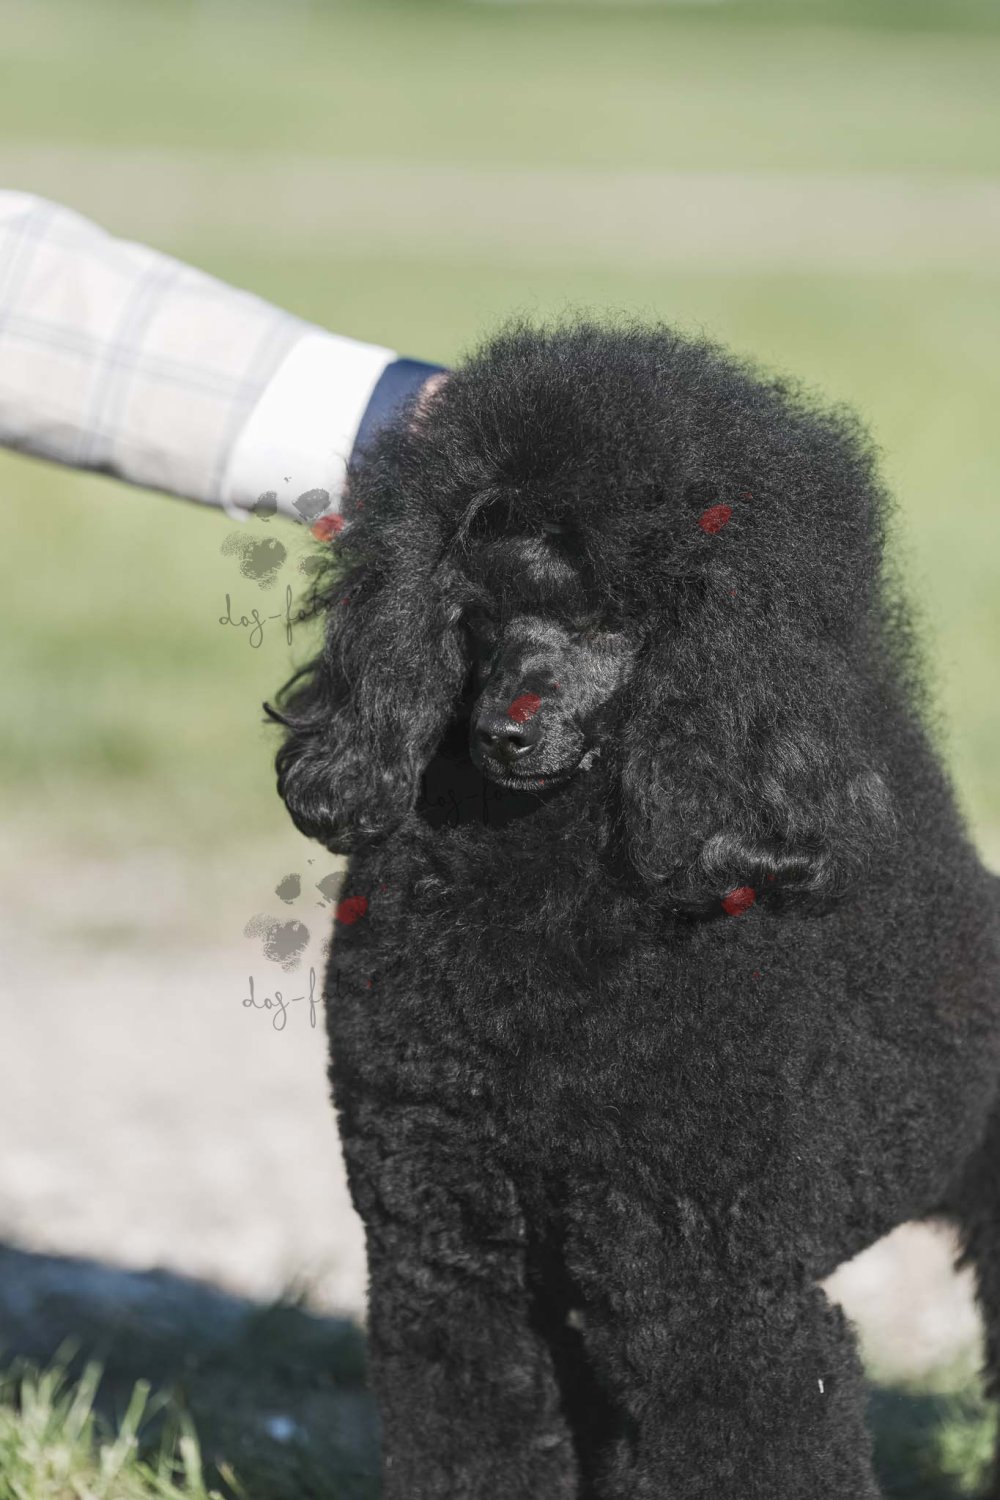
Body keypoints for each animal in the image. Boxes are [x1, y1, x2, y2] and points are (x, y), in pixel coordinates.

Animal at [269, 321, 1000, 1499]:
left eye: (613, 616)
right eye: (477, 608)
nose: (506, 732)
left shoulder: (702, 1280)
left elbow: (745, 1430)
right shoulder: (450, 1247)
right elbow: (476, 1411)